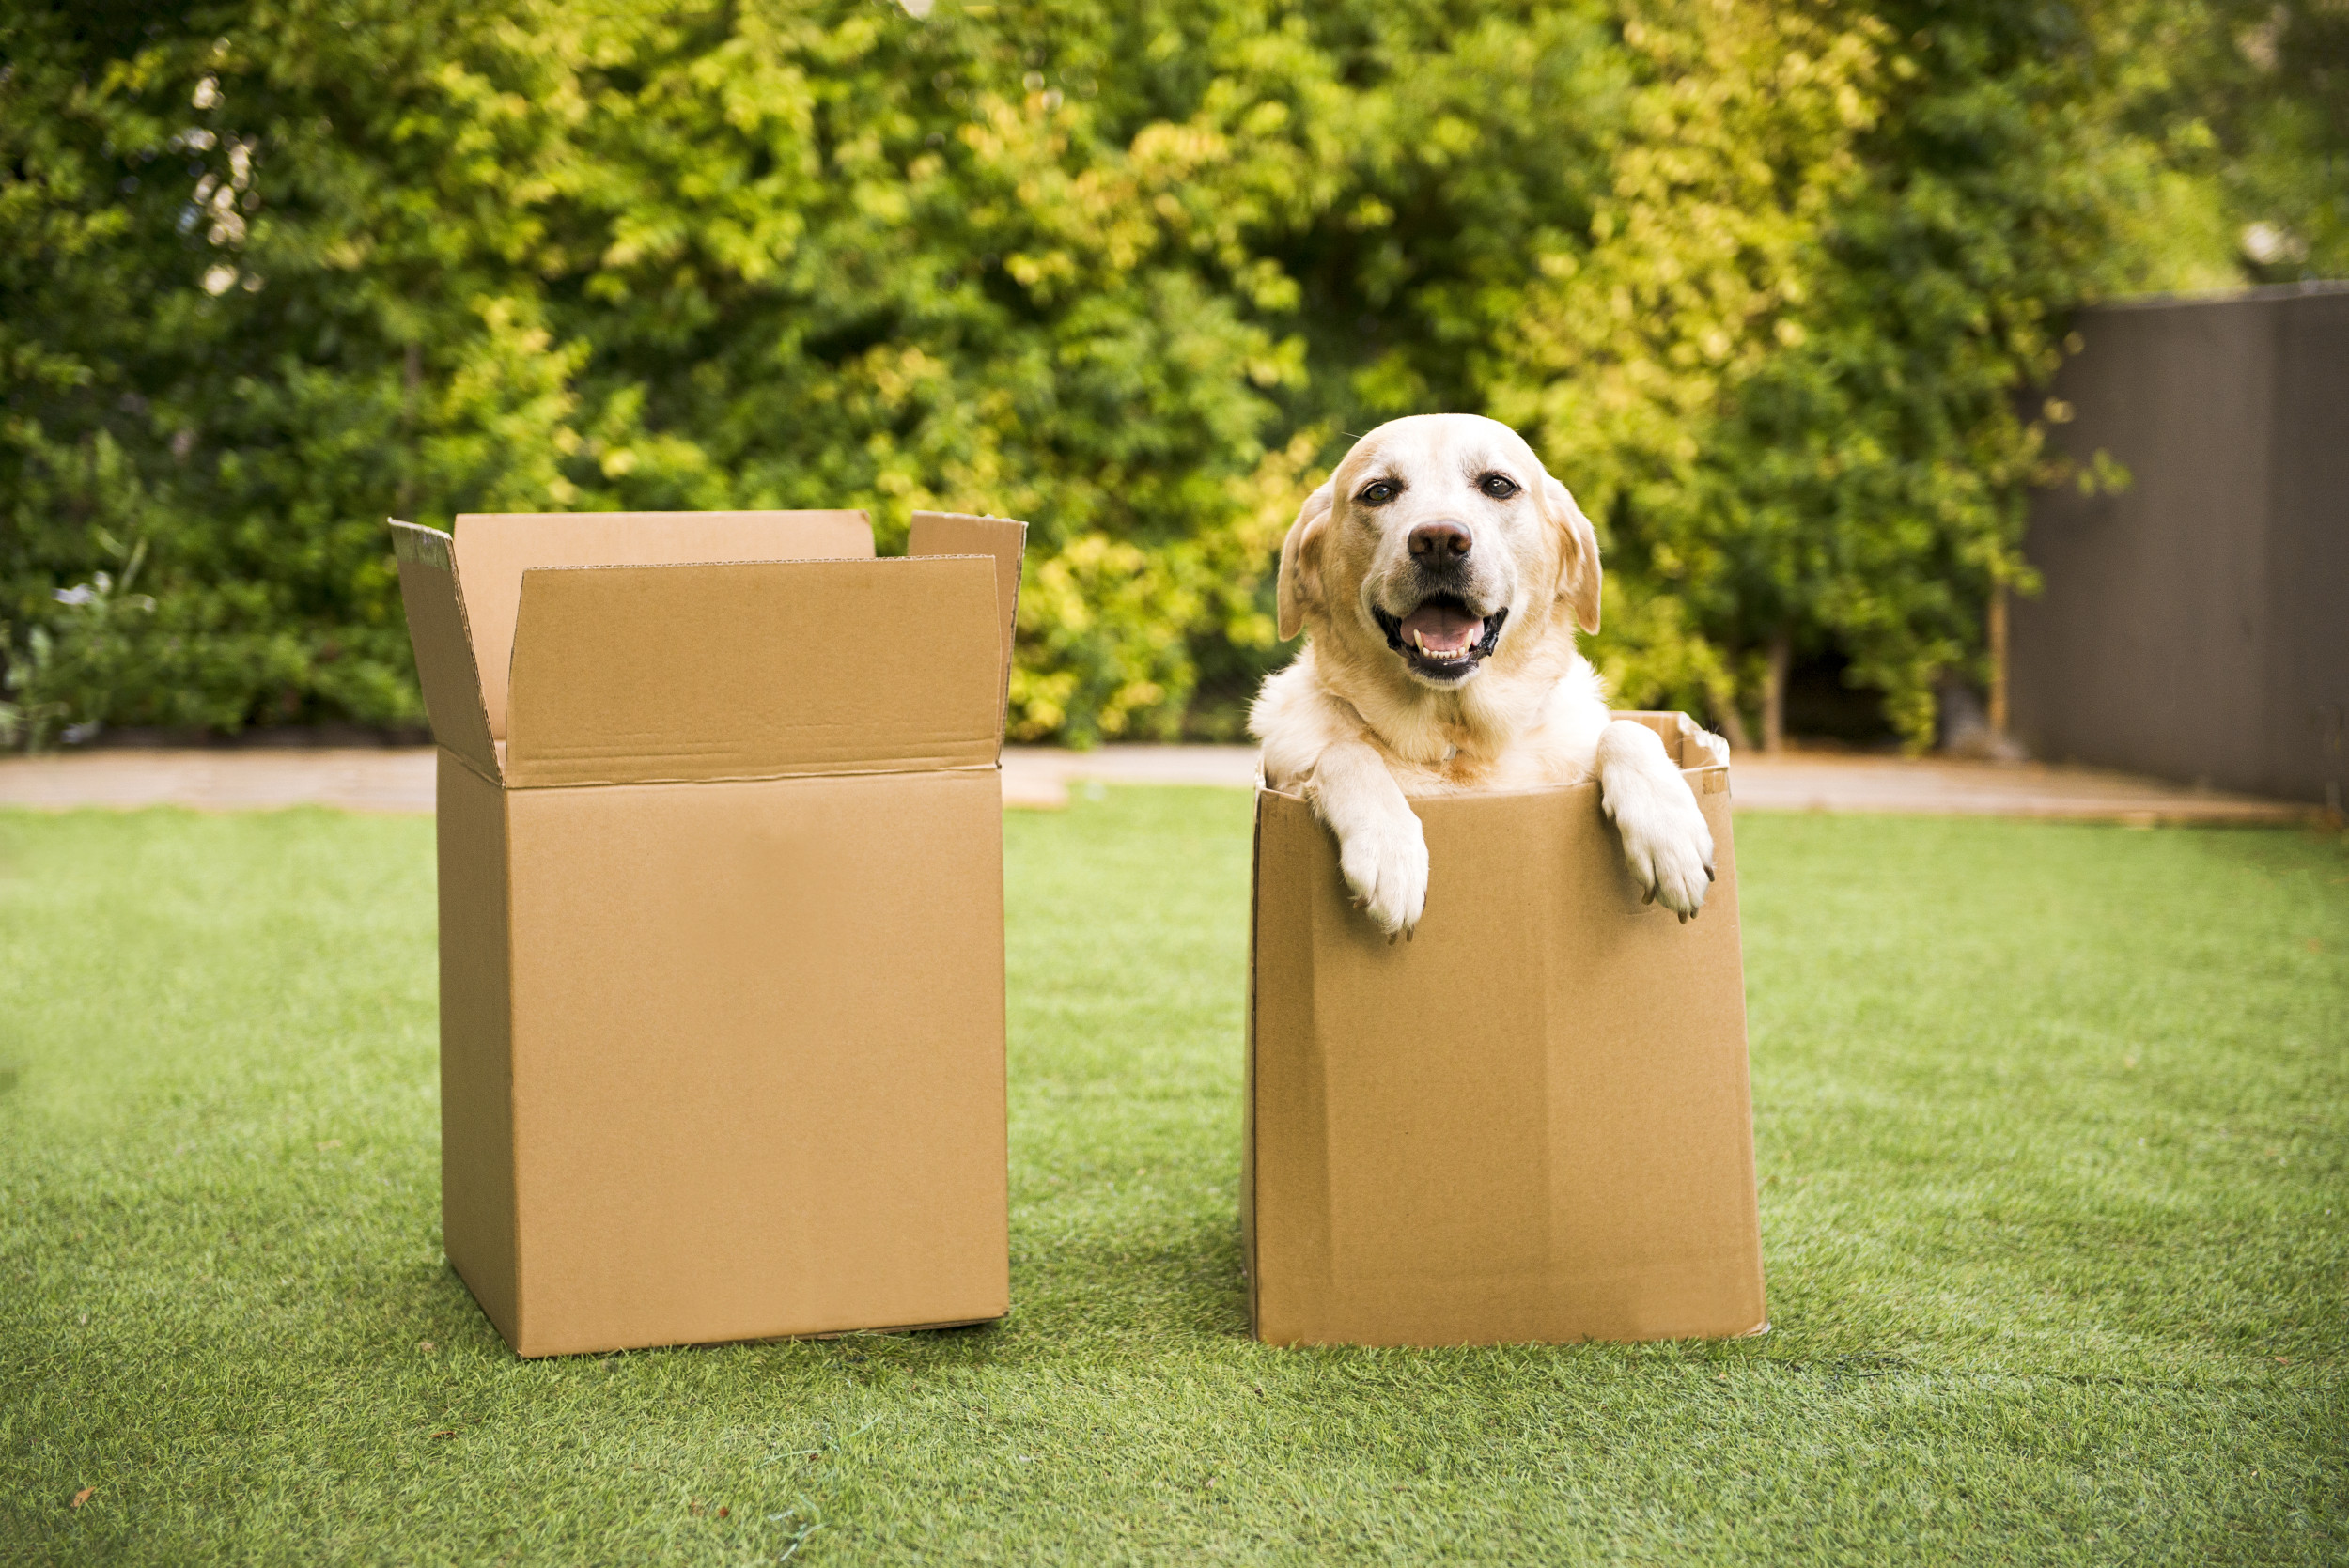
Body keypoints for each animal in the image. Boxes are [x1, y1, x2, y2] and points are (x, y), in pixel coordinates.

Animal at [1250, 411, 1729, 939]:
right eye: (1378, 491)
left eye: (1498, 485)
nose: (1438, 540)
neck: (1455, 738)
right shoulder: (1289, 781)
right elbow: (1345, 751)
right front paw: (1389, 851)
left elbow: (1627, 731)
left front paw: (1671, 834)